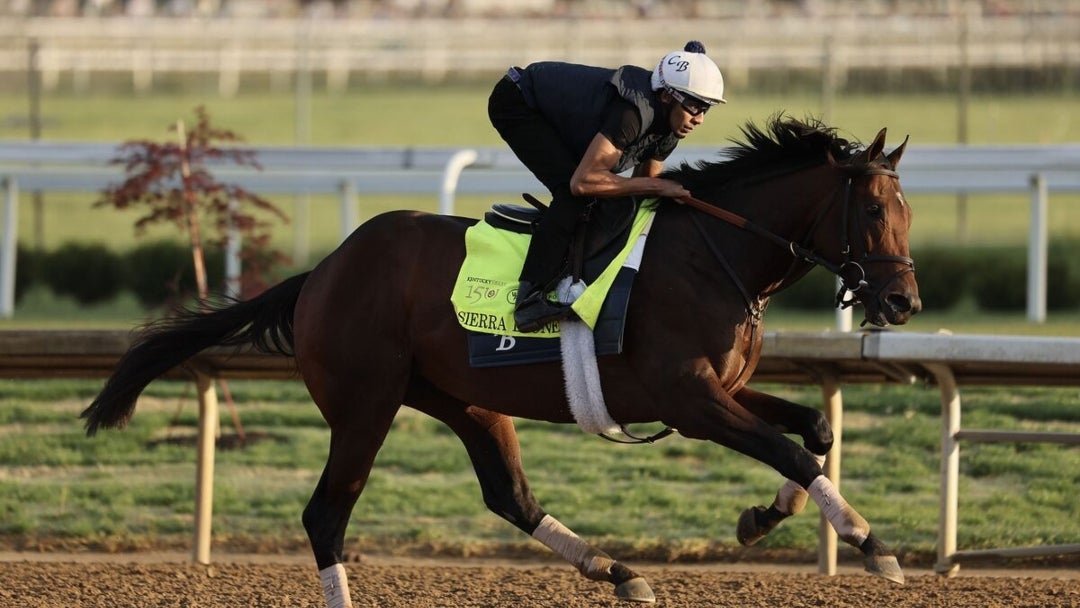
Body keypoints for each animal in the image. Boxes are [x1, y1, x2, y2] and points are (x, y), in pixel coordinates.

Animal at [79, 116, 920, 604]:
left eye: (908, 214)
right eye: (876, 211)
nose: (903, 302)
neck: (713, 253)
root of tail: (320, 271)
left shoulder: (720, 390)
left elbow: (813, 430)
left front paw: (761, 517)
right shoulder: (687, 397)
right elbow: (791, 447)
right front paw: (872, 542)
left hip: (464, 399)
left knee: (509, 495)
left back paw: (617, 571)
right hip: (364, 403)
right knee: (326, 513)